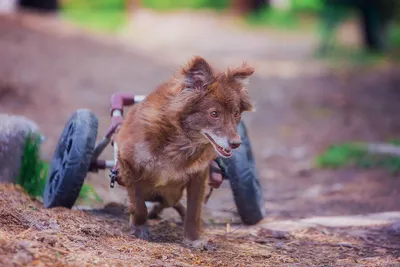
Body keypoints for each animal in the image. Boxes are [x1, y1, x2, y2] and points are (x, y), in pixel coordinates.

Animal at [114, 56, 255, 249]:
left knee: (171, 204)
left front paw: (193, 239)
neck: (179, 139)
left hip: (172, 194)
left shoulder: (198, 175)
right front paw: (139, 229)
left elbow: (194, 211)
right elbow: (139, 205)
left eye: (235, 113)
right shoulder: (128, 164)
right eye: (214, 114)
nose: (236, 143)